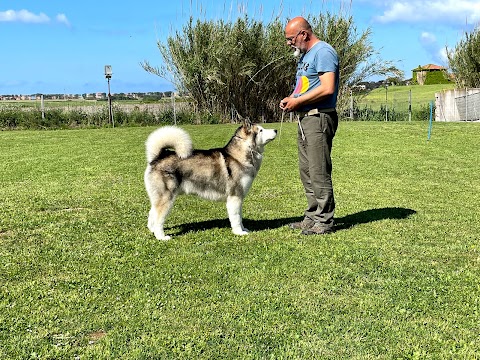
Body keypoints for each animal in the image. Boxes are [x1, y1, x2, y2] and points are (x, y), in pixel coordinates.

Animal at [143, 120, 278, 239]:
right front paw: (239, 232)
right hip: (167, 198)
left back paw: (152, 230)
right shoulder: (235, 197)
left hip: (159, 197)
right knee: (158, 217)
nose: (276, 130)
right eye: (261, 130)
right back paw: (161, 236)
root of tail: (158, 157)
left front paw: (244, 229)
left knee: (152, 213)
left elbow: (240, 217)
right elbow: (236, 218)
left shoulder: (239, 197)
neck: (239, 156)